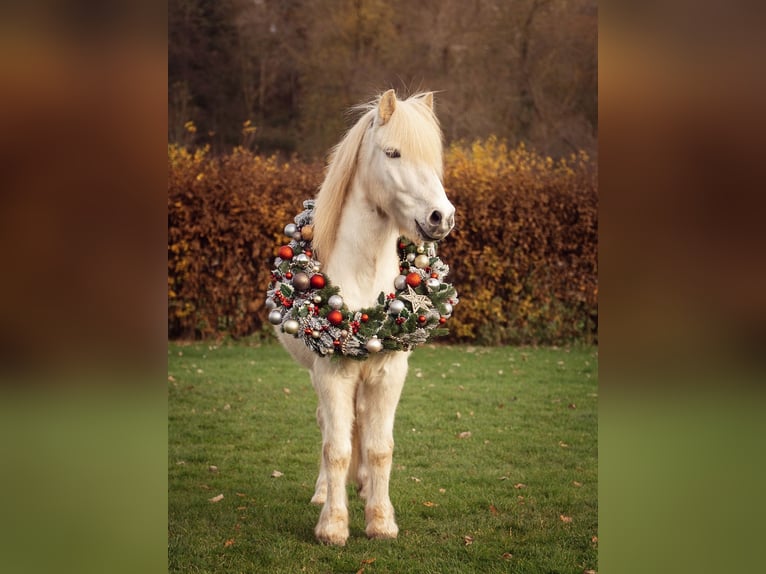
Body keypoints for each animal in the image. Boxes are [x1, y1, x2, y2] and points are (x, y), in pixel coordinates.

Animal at [277, 90, 455, 546]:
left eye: (433, 159)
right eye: (393, 153)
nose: (441, 218)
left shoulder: (388, 372)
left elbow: (379, 447)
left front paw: (381, 520)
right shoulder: (332, 373)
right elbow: (336, 448)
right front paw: (333, 527)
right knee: (328, 428)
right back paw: (325, 493)